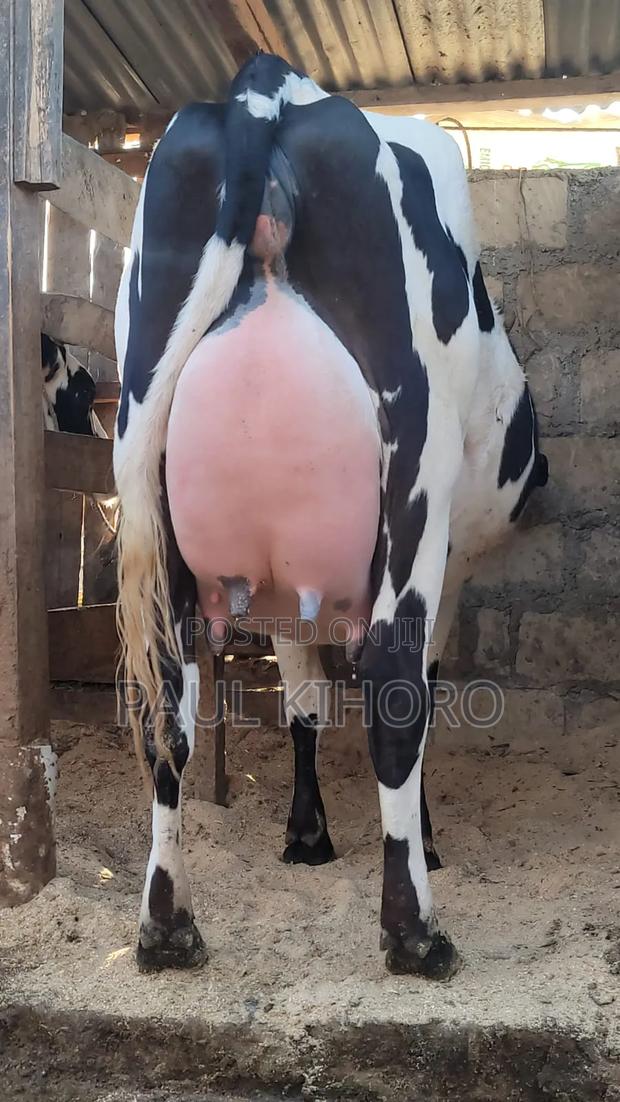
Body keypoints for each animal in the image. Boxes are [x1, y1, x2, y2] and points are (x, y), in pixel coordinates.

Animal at [113, 54, 548, 979]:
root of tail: (266, 89)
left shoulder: (279, 593)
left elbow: (304, 704)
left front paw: (306, 835)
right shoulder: (446, 562)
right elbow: (415, 695)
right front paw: (416, 841)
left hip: (148, 489)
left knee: (164, 700)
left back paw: (167, 927)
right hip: (413, 468)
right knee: (394, 686)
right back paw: (415, 934)